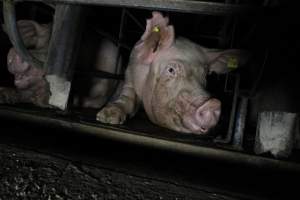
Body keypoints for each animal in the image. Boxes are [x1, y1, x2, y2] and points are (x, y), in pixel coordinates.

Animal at [96, 12, 248, 134]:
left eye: (205, 75)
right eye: (171, 70)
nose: (213, 104)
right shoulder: (130, 74)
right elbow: (127, 97)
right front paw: (106, 117)